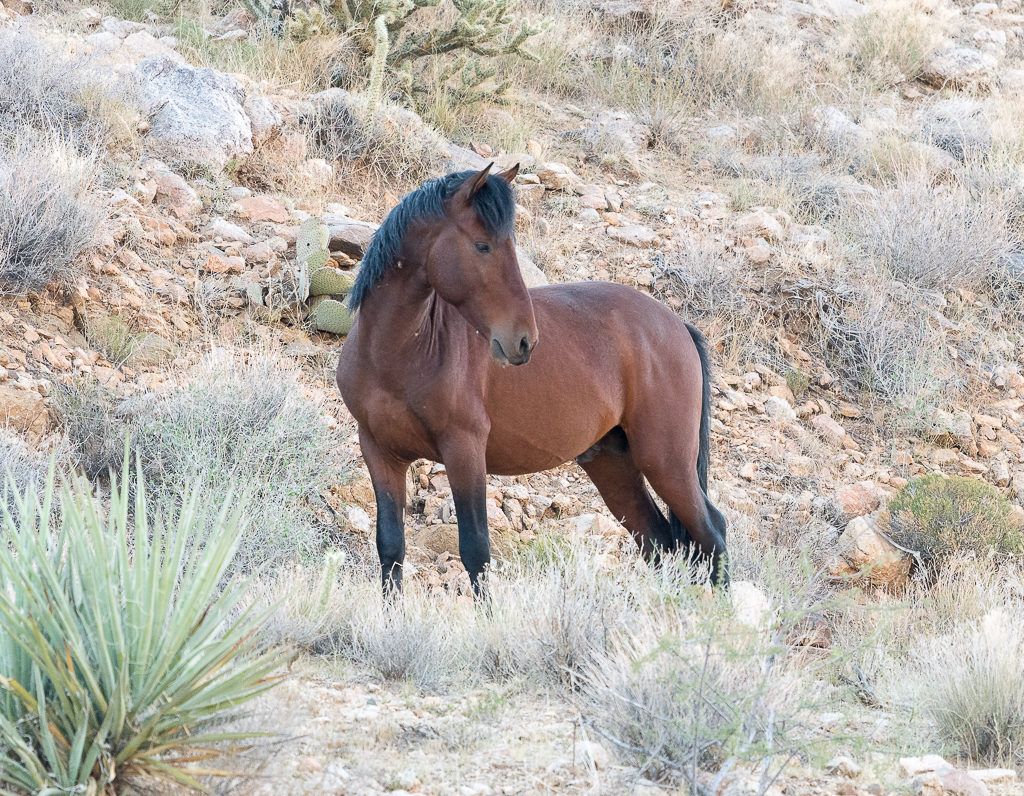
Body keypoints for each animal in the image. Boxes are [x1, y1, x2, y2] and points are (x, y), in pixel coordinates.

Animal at [335, 164, 729, 594]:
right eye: (483, 246)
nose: (524, 340)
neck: (398, 356)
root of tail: (677, 326)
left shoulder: (464, 450)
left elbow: (476, 551)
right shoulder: (379, 452)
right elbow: (391, 548)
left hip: (667, 461)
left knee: (712, 533)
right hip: (613, 464)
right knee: (659, 540)